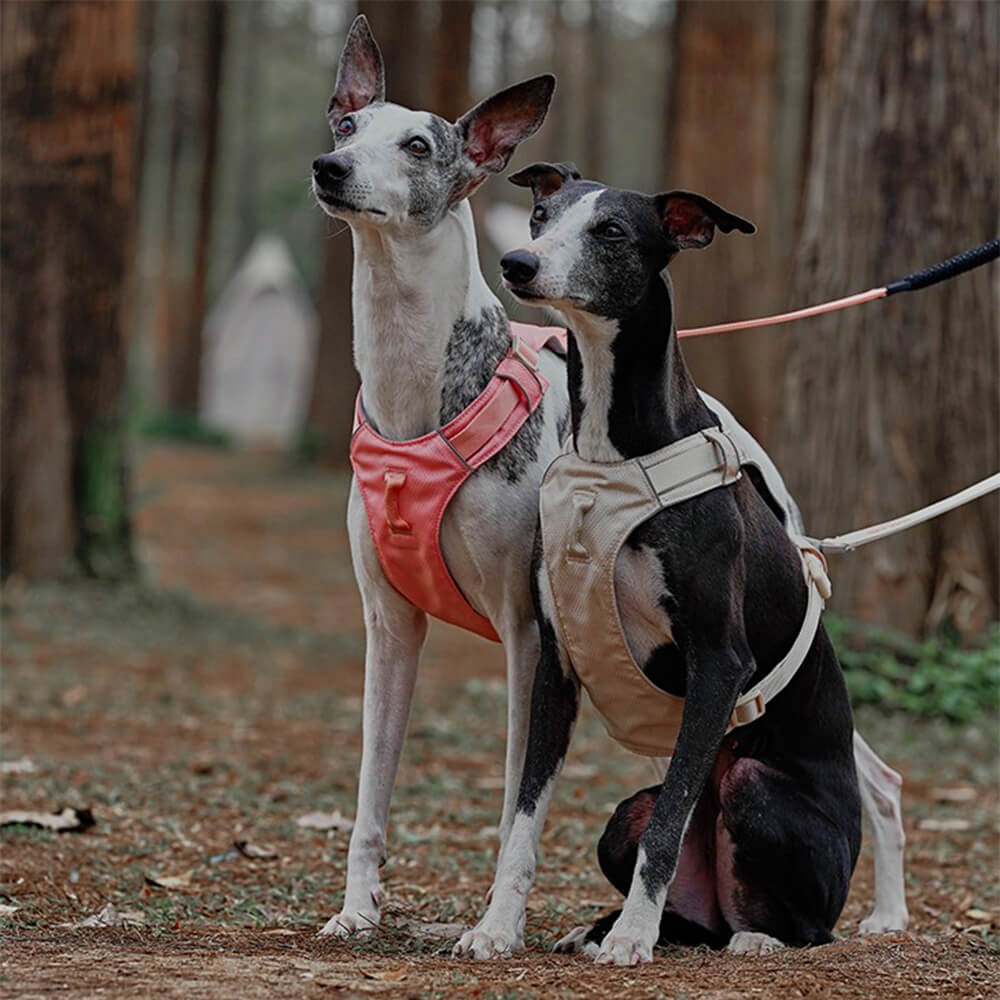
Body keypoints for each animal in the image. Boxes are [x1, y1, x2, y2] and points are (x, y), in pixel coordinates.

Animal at [460, 162, 860, 960]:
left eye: (611, 231)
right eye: (540, 216)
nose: (518, 264)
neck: (614, 457)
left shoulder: (719, 661)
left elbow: (673, 819)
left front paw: (631, 940)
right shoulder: (556, 664)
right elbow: (524, 819)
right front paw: (496, 929)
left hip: (755, 787)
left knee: (805, 924)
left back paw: (752, 939)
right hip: (622, 819)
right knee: (686, 900)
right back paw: (606, 927)